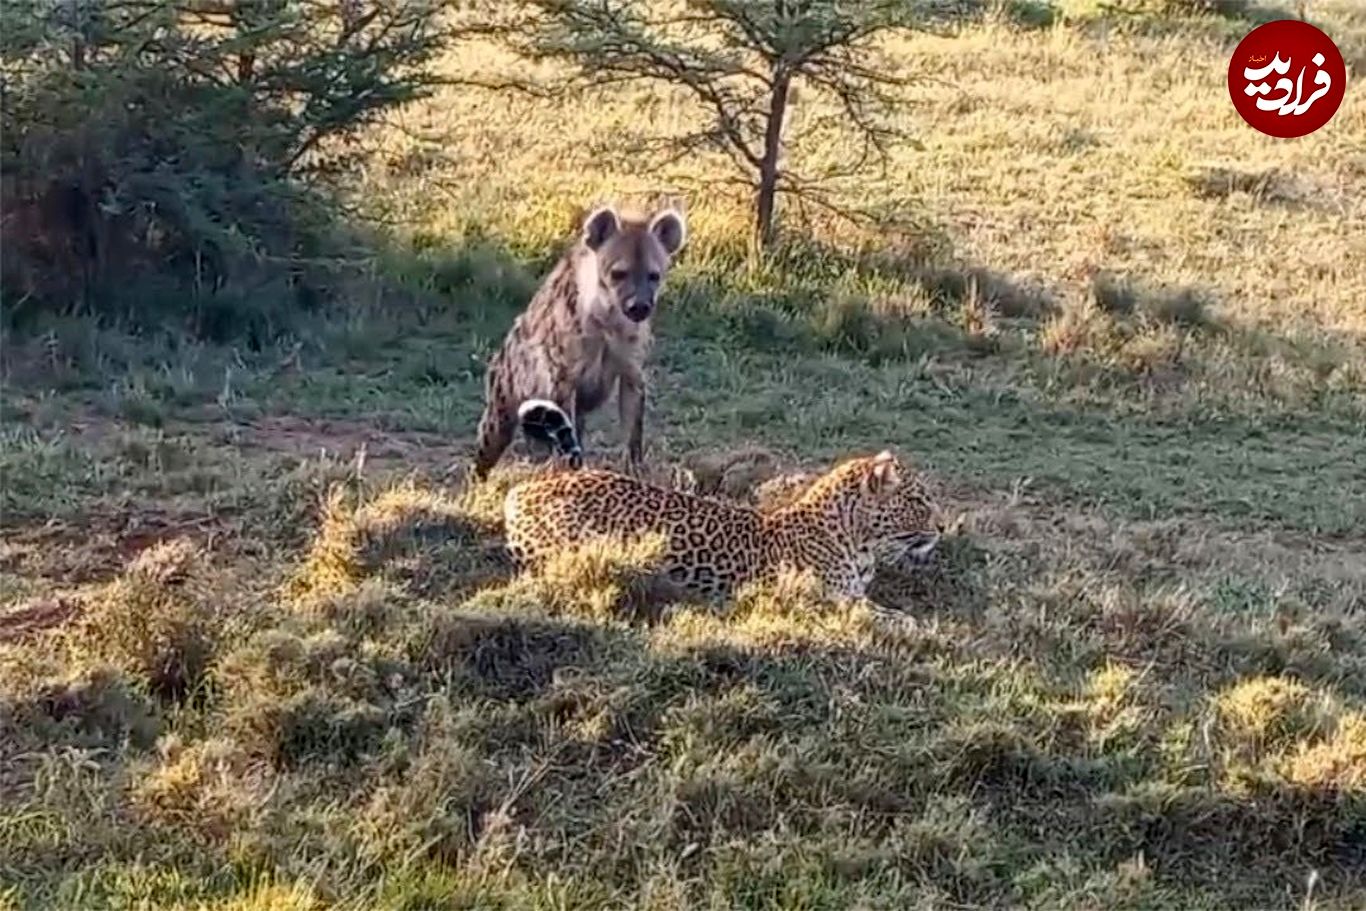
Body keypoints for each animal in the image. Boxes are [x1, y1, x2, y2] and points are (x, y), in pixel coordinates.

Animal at [502, 401, 939, 606]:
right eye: (920, 500)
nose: (943, 526)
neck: (857, 540)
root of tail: (530, 487)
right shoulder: (837, 601)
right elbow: (895, 619)